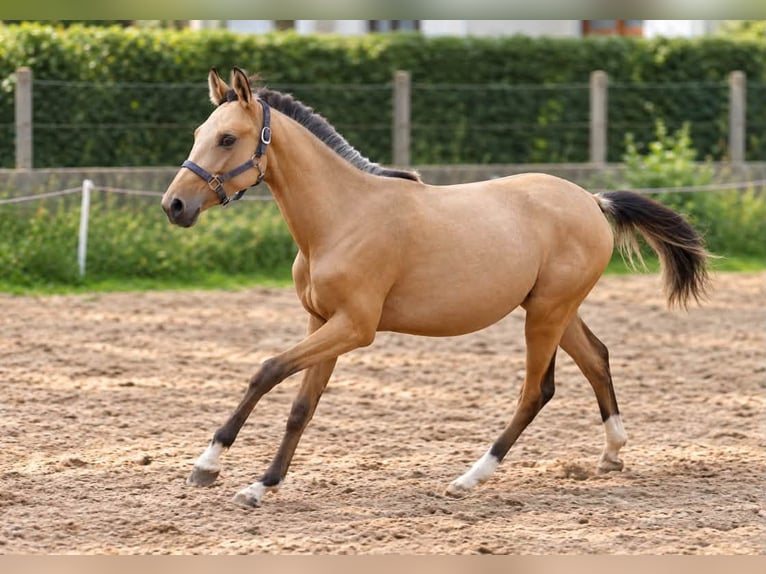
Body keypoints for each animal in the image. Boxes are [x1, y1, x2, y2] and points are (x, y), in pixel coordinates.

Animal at [161, 67, 710, 508]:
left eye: (228, 139)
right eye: (198, 133)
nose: (174, 206)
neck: (342, 217)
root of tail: (593, 202)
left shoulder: (354, 327)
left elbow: (266, 370)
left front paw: (210, 467)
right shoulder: (322, 322)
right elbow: (301, 407)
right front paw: (260, 484)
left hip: (547, 313)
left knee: (537, 390)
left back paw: (470, 479)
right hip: (553, 309)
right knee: (596, 358)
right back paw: (612, 454)